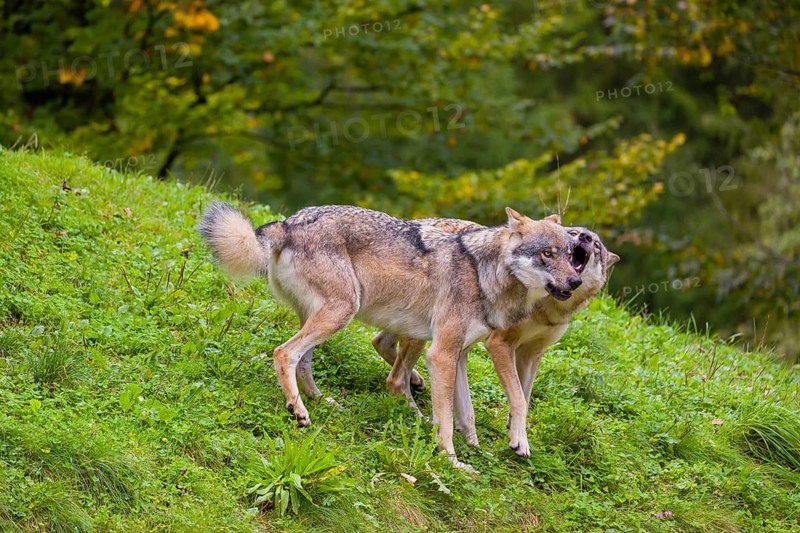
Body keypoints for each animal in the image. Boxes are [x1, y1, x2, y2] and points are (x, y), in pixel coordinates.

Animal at [199, 203, 581, 468]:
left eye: (571, 256)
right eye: (546, 254)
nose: (576, 282)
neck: (483, 273)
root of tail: (289, 222)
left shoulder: (458, 355)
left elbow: (466, 412)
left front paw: (475, 449)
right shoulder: (441, 354)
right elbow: (453, 417)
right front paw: (453, 461)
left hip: (326, 317)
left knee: (303, 362)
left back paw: (322, 402)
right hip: (342, 313)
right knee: (284, 353)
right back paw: (299, 412)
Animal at [372, 223, 618, 456]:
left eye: (596, 244)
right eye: (573, 233)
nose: (584, 237)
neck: (545, 306)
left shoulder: (532, 353)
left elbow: (524, 394)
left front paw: (515, 428)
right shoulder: (500, 344)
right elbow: (518, 396)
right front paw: (520, 442)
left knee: (380, 343)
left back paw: (417, 381)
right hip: (423, 333)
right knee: (394, 374)